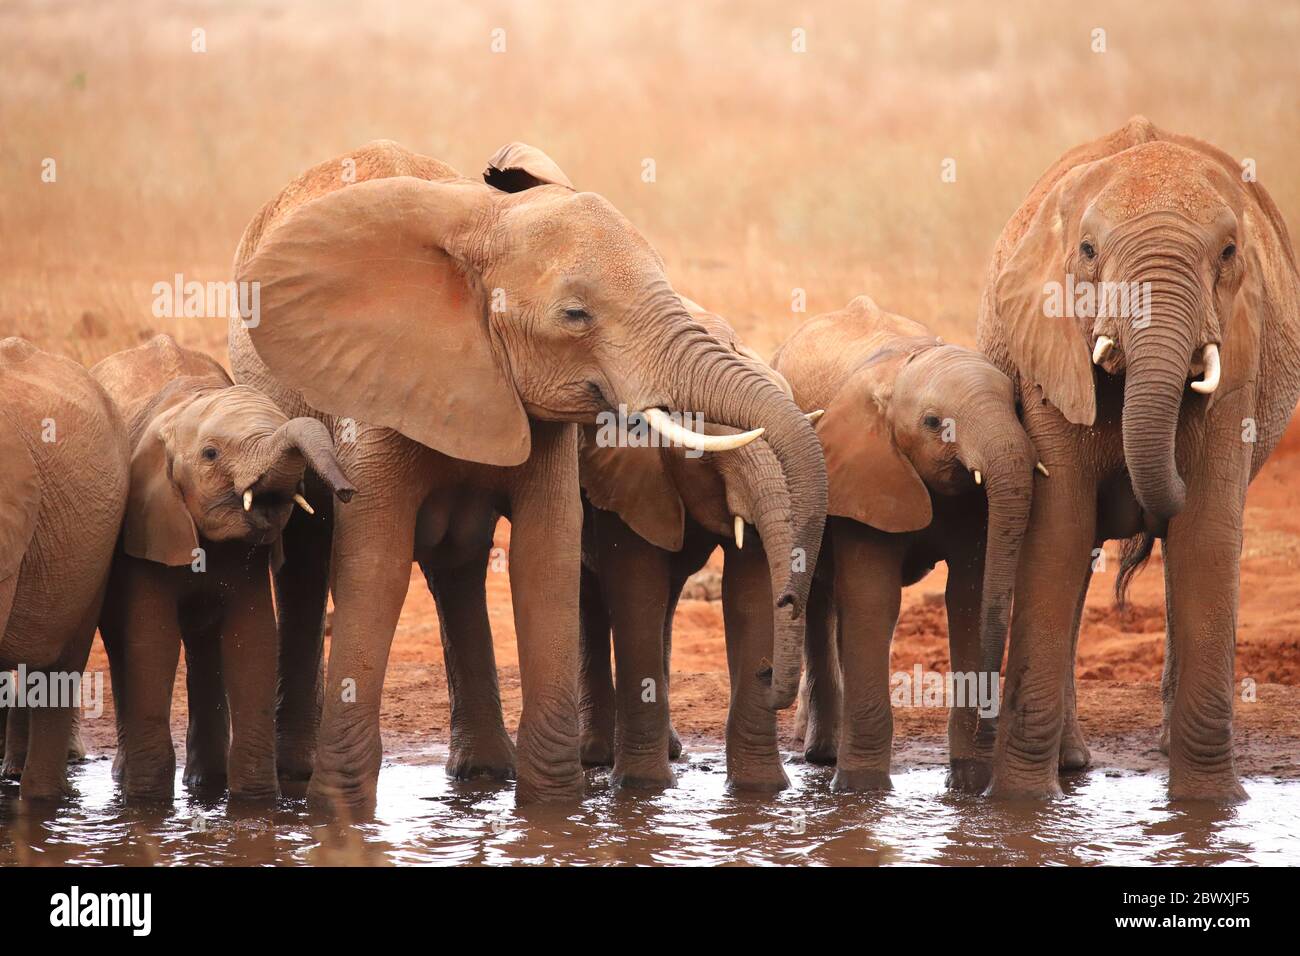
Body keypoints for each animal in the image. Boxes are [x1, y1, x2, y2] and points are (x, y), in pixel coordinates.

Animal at [91, 335, 356, 801]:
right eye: (211, 454)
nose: (346, 492)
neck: (187, 406)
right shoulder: (146, 523)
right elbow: (152, 639)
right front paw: (147, 805)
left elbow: (253, 638)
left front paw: (256, 803)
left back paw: (206, 783)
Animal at [230, 138, 826, 806]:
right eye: (575, 314)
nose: (775, 679)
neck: (485, 224)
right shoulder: (372, 380)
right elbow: (375, 563)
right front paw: (339, 813)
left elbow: (546, 558)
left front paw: (552, 812)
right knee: (310, 560)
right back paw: (300, 776)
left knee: (458, 566)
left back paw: (484, 772)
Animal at [774, 297, 1040, 790]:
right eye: (934, 423)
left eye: (1016, 405)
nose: (989, 724)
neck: (902, 368)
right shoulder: (863, 470)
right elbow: (874, 599)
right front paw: (861, 790)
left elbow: (968, 598)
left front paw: (969, 783)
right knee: (821, 596)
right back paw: (822, 755)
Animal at [977, 117, 1294, 801]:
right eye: (1088, 251)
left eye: (1228, 253)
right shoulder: (1049, 352)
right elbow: (1059, 531)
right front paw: (1019, 806)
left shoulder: (1241, 358)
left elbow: (1205, 536)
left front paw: (1211, 807)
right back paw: (1070, 767)